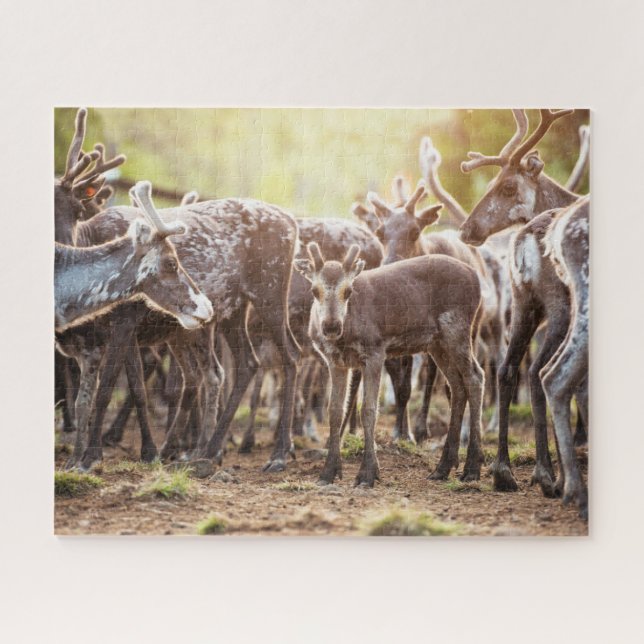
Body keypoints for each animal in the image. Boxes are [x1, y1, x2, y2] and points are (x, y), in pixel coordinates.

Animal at [295, 242, 484, 486]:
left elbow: (368, 410)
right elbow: (335, 411)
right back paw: (443, 467)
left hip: (457, 328)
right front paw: (328, 472)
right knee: (457, 385)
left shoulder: (375, 352)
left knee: (475, 378)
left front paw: (367, 473)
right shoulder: (335, 361)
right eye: (314, 290)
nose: (331, 327)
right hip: (437, 343)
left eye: (348, 291)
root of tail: (476, 277)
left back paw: (472, 467)